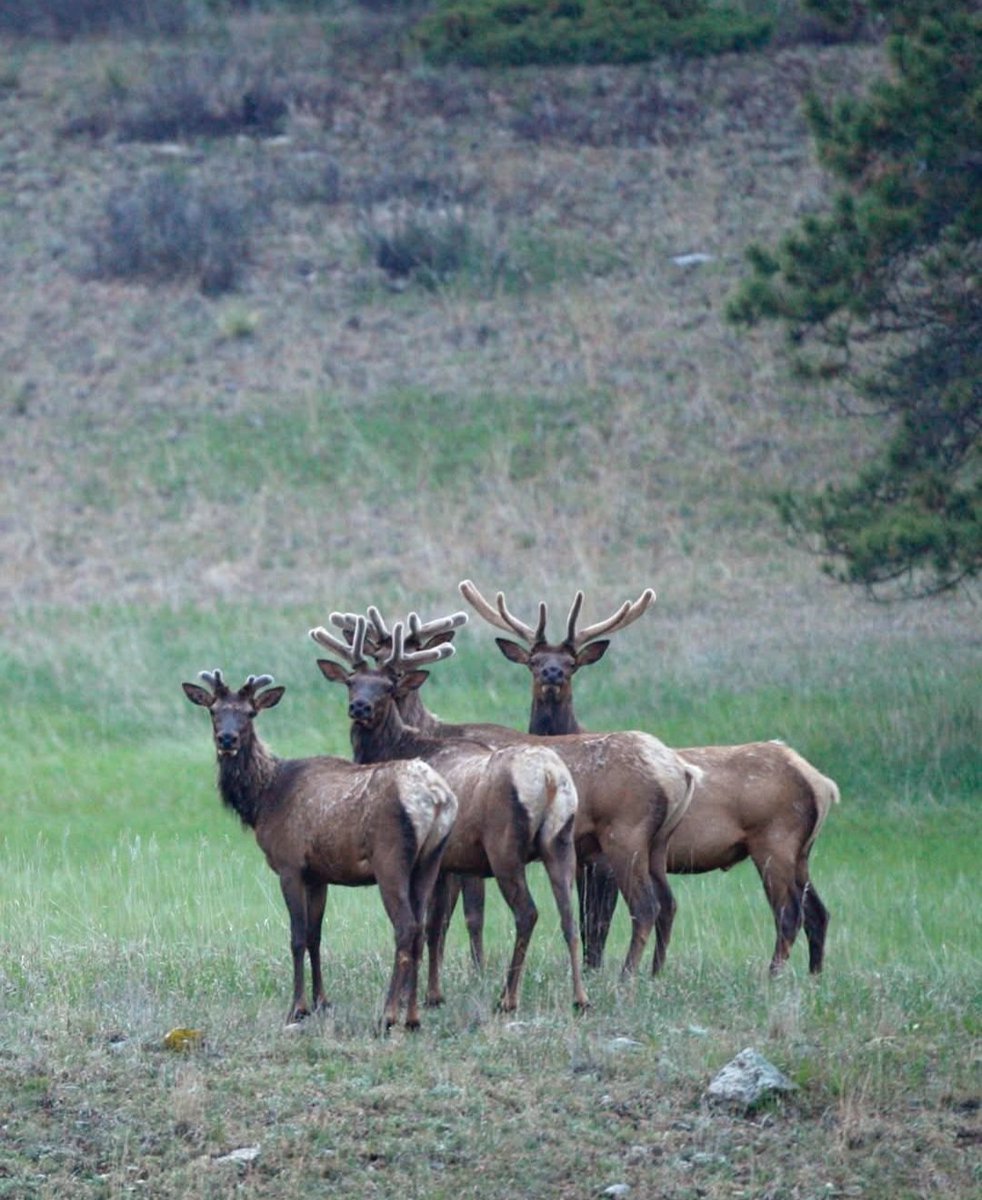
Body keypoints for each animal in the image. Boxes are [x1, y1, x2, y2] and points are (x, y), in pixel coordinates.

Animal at [182, 668, 457, 1030]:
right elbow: (316, 935)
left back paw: (388, 1014)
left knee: (406, 927)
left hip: (391, 858)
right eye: (213, 711)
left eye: (250, 713)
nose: (227, 739)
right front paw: (321, 1002)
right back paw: (412, 1017)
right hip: (430, 861)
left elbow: (297, 937)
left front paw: (297, 1008)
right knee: (422, 929)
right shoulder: (318, 874)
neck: (264, 801)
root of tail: (438, 798)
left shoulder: (290, 865)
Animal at [311, 617, 589, 1013]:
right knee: (569, 917)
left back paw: (508, 997)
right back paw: (580, 998)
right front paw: (432, 993)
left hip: (505, 847)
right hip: (561, 843)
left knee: (528, 913)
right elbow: (436, 927)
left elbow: (430, 925)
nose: (360, 707)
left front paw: (424, 996)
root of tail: (551, 779)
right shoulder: (452, 862)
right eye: (352, 681)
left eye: (387, 686)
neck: (400, 747)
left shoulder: (440, 860)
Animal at [318, 607, 701, 979]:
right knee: (665, 904)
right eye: (351, 681)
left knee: (639, 907)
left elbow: (458, 917)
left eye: (389, 684)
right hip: (655, 844)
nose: (360, 707)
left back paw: (625, 976)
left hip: (623, 836)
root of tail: (681, 772)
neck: (416, 742)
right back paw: (653, 973)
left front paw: (473, 972)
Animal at [459, 579, 840, 976]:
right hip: (801, 851)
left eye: (572, 663)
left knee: (788, 913)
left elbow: (598, 921)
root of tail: (822, 784)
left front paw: (595, 970)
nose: (552, 673)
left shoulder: (602, 861)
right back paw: (813, 976)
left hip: (773, 840)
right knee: (818, 913)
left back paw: (772, 975)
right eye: (533, 662)